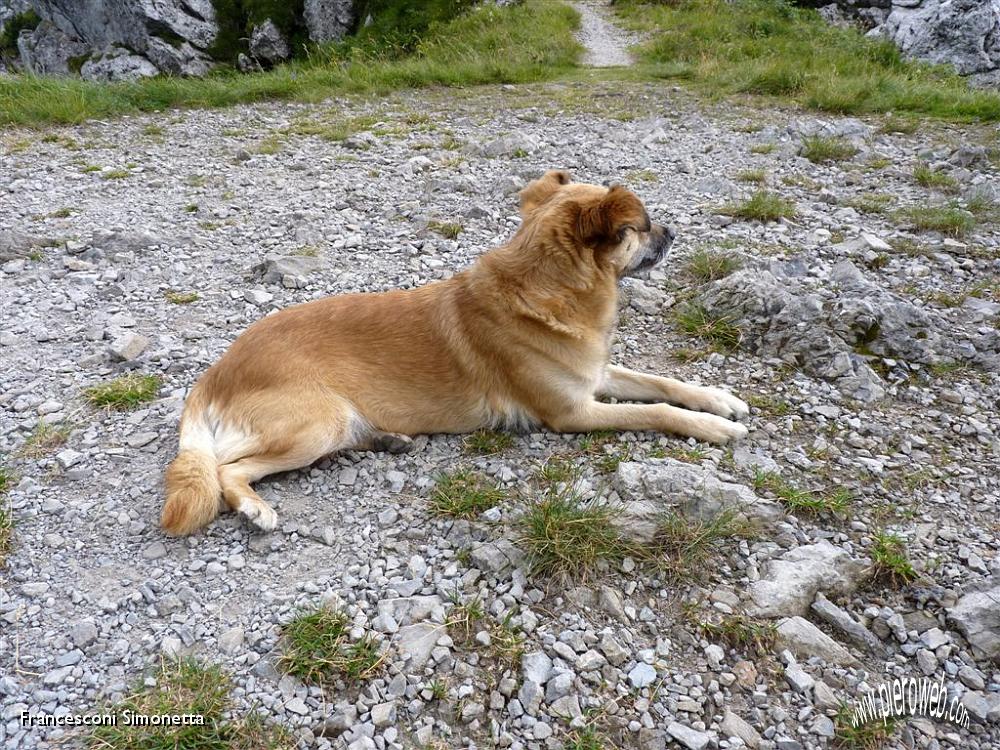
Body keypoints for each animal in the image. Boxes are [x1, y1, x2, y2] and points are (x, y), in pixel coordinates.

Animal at [160, 170, 748, 536]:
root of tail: (213, 375)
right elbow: (659, 410)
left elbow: (663, 384)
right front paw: (715, 428)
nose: (675, 232)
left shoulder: (593, 376)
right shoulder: (573, 412)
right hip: (316, 422)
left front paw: (719, 400)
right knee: (225, 470)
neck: (546, 290)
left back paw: (387, 439)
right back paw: (254, 507)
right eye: (640, 228)